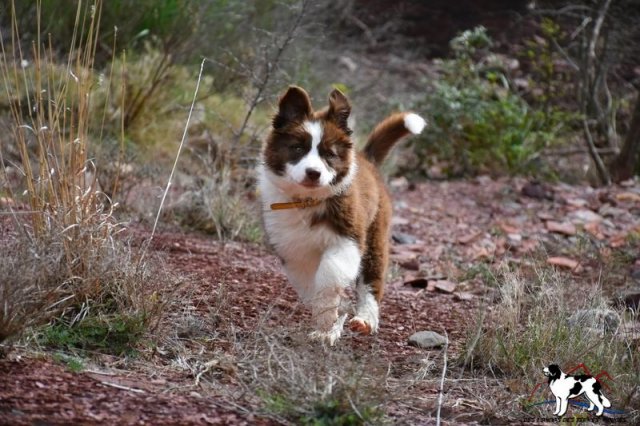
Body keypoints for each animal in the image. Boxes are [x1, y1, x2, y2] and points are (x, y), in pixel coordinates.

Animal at [257, 86, 425, 345]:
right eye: (298, 148)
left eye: (329, 154)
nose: (313, 173)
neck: (307, 201)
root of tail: (367, 160)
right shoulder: (294, 251)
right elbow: (311, 286)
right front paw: (328, 323)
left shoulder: (348, 239)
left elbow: (329, 276)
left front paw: (329, 324)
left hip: (375, 236)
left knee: (371, 282)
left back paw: (366, 320)